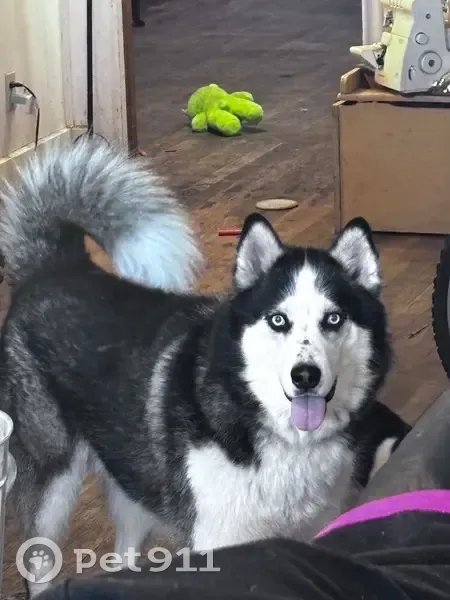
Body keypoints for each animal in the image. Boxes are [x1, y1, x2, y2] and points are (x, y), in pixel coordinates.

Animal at [0, 138, 409, 596]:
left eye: (333, 319)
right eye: (278, 320)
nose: (305, 376)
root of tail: (56, 266)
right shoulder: (218, 542)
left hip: (134, 488)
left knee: (123, 555)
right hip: (51, 483)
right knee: (40, 564)